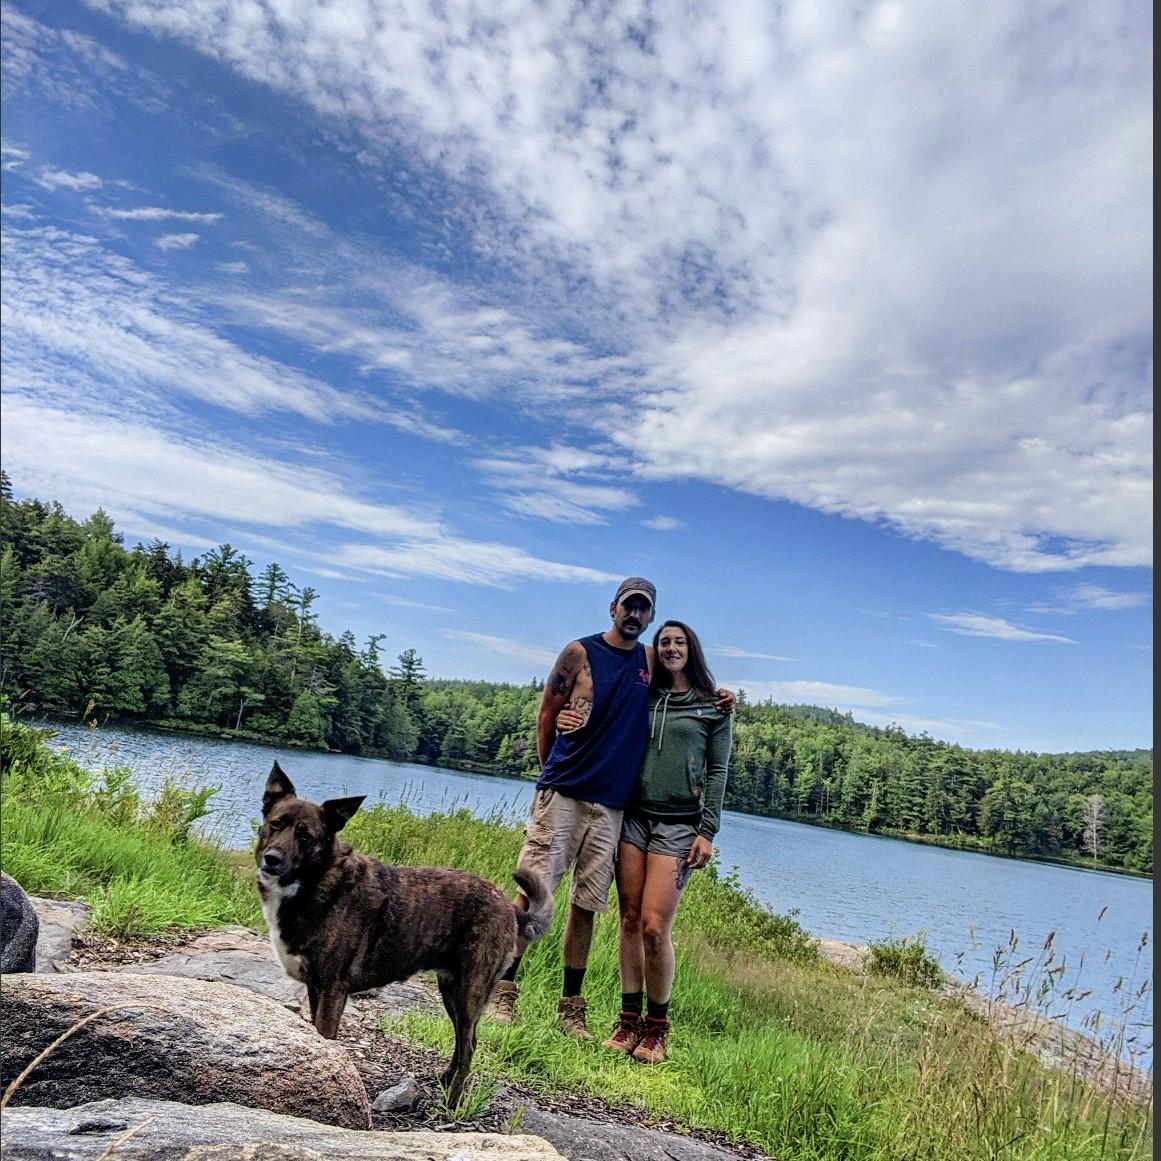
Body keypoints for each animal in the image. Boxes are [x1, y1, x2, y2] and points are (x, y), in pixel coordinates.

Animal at [256, 766, 554, 1100]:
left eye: (305, 836)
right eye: (276, 824)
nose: (272, 858)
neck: (316, 881)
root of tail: (508, 904)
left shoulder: (333, 990)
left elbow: (325, 1038)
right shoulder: (315, 988)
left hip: (469, 992)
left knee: (469, 1046)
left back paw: (452, 1101)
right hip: (451, 990)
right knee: (466, 1040)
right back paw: (446, 1080)